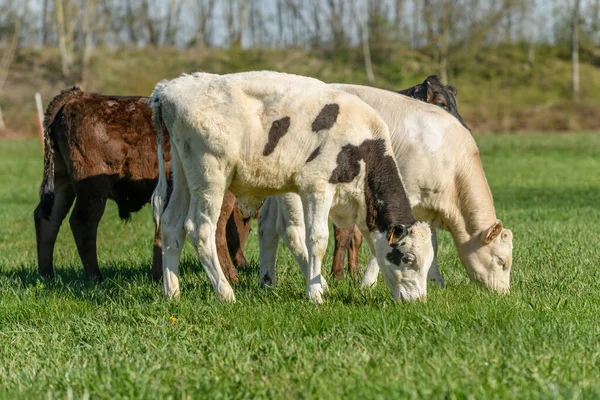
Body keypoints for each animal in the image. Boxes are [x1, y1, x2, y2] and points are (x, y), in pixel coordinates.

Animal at [32, 88, 248, 282]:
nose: (244, 263)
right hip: (93, 190)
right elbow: (217, 230)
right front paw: (231, 276)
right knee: (82, 222)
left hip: (62, 183)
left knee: (48, 218)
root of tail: (78, 96)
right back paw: (96, 278)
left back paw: (46, 276)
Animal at [149, 72, 432, 304]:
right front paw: (315, 293)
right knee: (200, 229)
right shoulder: (317, 188)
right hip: (210, 176)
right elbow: (316, 239)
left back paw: (172, 292)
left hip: (183, 174)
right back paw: (225, 292)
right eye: (409, 259)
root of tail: (169, 88)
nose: (419, 301)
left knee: (172, 225)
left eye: (429, 262)